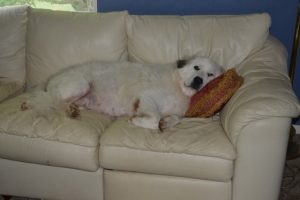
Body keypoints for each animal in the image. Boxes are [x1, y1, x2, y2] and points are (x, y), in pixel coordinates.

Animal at [21, 57, 223, 130]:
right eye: (196, 68)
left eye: (210, 74)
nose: (198, 80)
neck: (178, 85)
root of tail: (52, 78)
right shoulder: (146, 98)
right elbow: (154, 118)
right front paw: (137, 121)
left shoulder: (177, 112)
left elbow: (175, 119)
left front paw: (166, 123)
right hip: (81, 84)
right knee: (48, 100)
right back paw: (28, 104)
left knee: (59, 104)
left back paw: (72, 111)